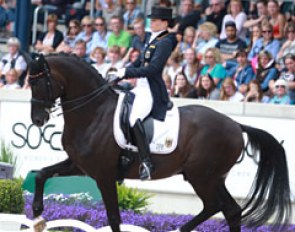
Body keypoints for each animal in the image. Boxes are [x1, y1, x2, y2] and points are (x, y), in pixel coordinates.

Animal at [28, 54, 292, 232]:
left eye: (38, 83)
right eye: (29, 82)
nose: (38, 120)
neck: (93, 113)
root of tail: (236, 125)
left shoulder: (104, 175)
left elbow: (113, 217)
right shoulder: (80, 165)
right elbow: (41, 173)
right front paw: (38, 213)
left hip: (201, 176)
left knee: (214, 205)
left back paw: (178, 230)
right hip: (213, 178)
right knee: (230, 210)